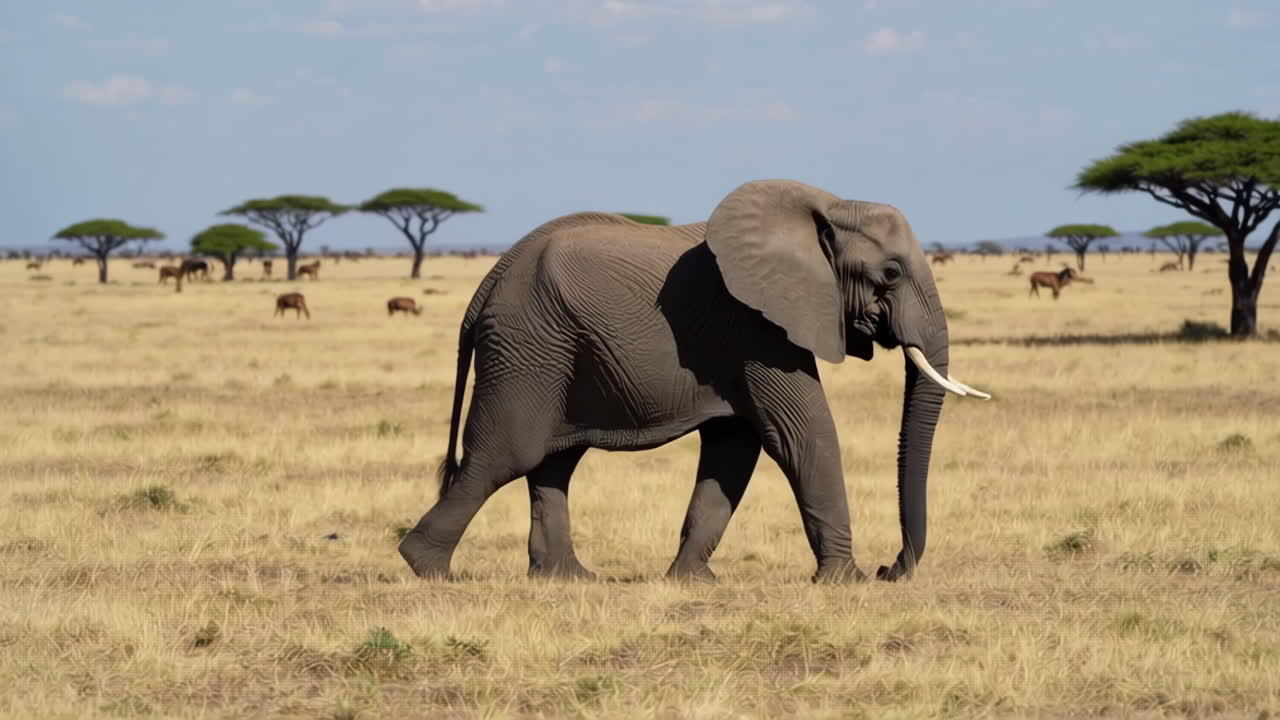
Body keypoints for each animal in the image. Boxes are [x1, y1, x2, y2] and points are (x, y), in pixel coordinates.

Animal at [398, 179, 989, 584]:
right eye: (889, 273)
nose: (892, 569)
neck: (828, 203)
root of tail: (487, 283)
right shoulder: (756, 324)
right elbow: (802, 434)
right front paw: (846, 581)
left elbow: (736, 448)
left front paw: (691, 580)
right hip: (529, 347)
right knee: (506, 454)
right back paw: (428, 567)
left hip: (555, 350)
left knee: (553, 462)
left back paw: (568, 579)